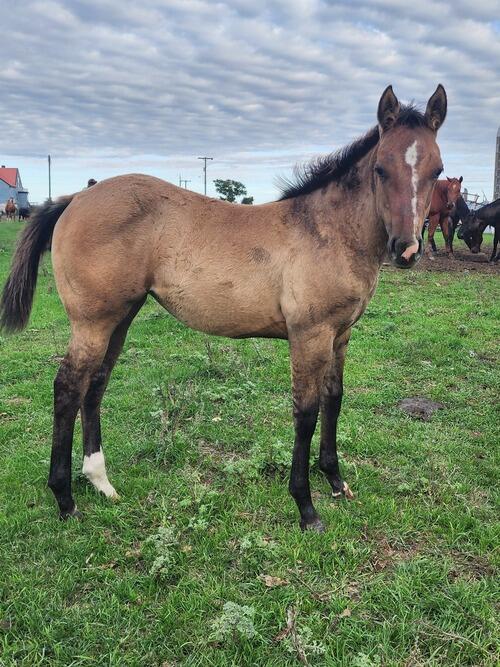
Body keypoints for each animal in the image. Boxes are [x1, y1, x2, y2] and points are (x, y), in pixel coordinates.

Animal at [0, 85, 448, 530]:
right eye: (381, 169)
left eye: (437, 171)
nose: (406, 250)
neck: (326, 230)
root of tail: (76, 197)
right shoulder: (309, 335)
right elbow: (306, 413)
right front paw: (306, 507)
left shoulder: (341, 334)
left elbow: (333, 400)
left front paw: (336, 481)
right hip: (93, 321)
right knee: (68, 388)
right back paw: (65, 499)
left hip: (121, 317)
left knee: (95, 384)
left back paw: (100, 482)